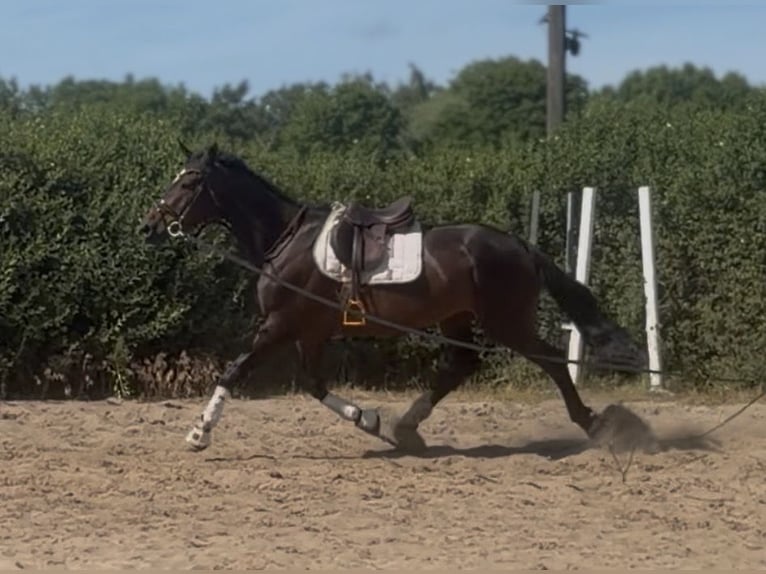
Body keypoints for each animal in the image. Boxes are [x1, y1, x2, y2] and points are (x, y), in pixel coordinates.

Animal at [138, 143, 648, 453]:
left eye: (189, 182)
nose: (149, 225)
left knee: (553, 362)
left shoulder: (279, 327)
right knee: (460, 365)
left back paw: (592, 423)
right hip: (457, 317)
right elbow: (314, 385)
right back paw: (407, 429)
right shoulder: (309, 332)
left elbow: (234, 370)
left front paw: (199, 432)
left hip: (506, 321)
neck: (286, 240)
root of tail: (520, 246)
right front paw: (368, 420)